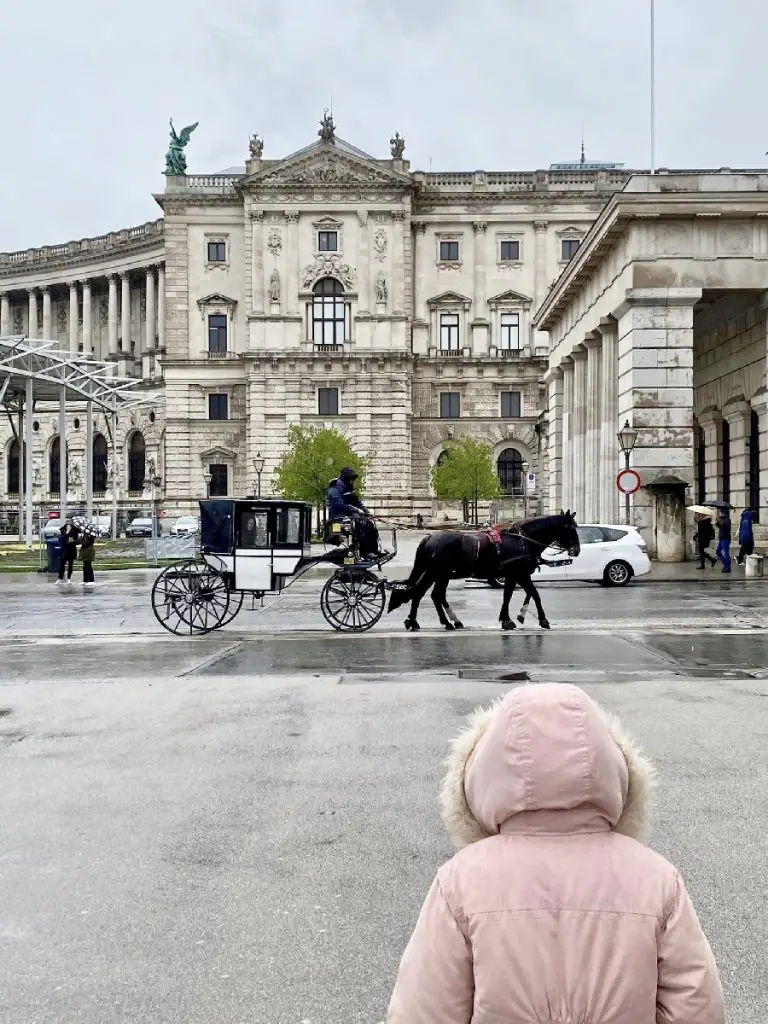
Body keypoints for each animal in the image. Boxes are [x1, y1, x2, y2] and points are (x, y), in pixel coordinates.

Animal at [387, 512, 581, 630]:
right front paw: (540, 619)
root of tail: (429, 537)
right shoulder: (519, 573)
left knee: (435, 595)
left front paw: (510, 618)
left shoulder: (515, 575)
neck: (523, 540)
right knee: (421, 593)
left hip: (441, 574)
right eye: (572, 528)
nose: (576, 550)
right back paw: (416, 621)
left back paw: (449, 621)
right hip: (435, 573)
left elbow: (515, 595)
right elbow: (532, 594)